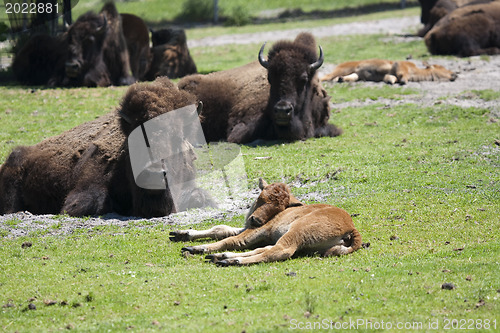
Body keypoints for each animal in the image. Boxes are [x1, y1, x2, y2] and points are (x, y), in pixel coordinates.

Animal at [170, 178, 362, 266]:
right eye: (262, 198)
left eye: (278, 206)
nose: (256, 220)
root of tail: (351, 227)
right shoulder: (247, 228)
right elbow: (222, 229)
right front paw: (180, 234)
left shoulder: (257, 231)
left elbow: (231, 240)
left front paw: (197, 248)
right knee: (268, 248)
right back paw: (222, 257)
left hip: (297, 232)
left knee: (279, 251)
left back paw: (230, 260)